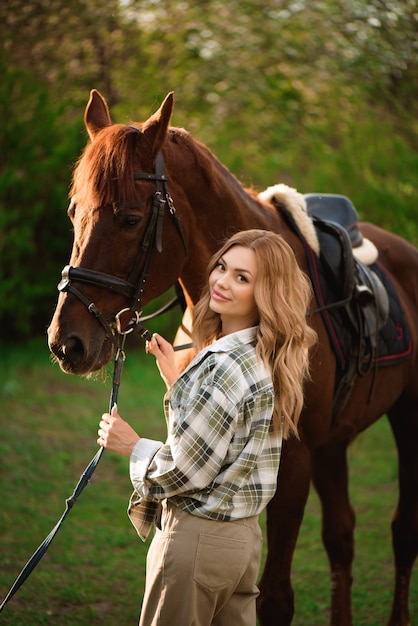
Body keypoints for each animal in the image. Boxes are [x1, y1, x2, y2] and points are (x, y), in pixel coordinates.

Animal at [47, 91, 416, 624]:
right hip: (335, 442)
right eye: (75, 211)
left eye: (130, 219)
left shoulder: (293, 462)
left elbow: (276, 597)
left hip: (407, 417)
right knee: (342, 537)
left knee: (403, 531)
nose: (66, 342)